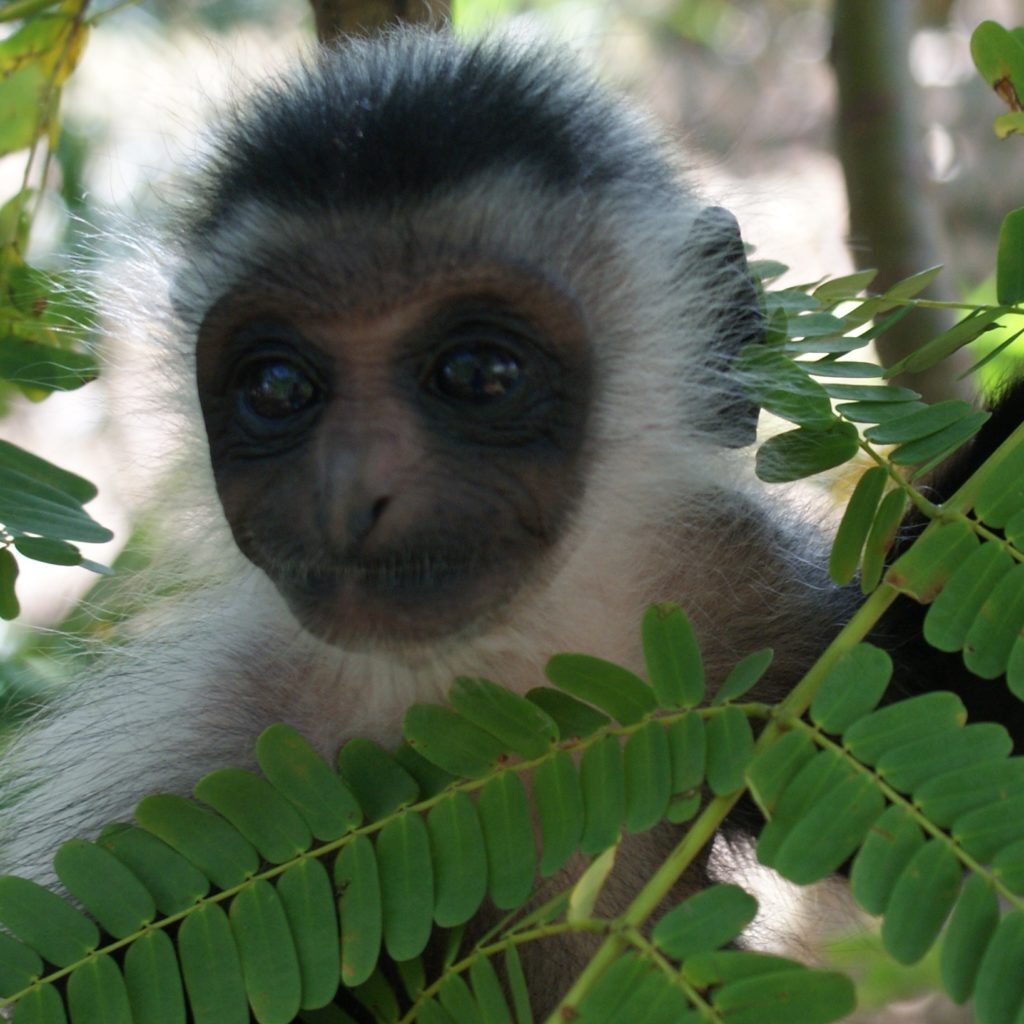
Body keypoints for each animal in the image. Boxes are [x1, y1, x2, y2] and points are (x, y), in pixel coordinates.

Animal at [0, 19, 1015, 1019]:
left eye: (480, 375)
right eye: (278, 388)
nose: (353, 488)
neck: (503, 663)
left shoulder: (737, 586)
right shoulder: (208, 778)